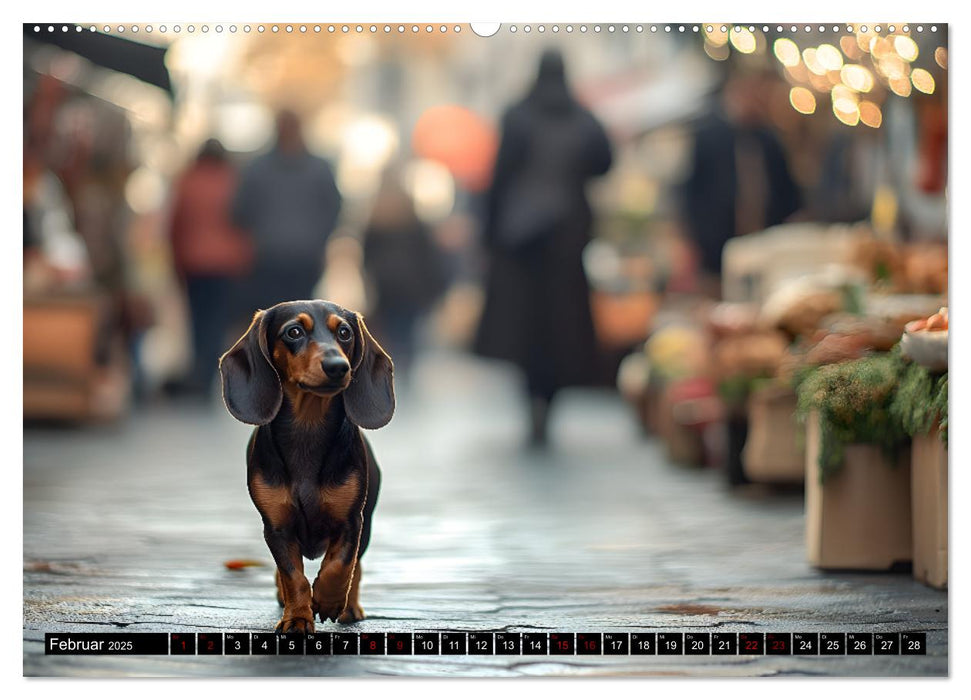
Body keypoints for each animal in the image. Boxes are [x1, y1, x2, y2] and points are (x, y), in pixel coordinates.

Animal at [220, 298, 394, 632]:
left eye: (344, 332)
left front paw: (327, 600)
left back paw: (349, 607)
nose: (339, 367)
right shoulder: (277, 527)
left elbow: (340, 565)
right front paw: (298, 618)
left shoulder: (351, 522)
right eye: (294, 331)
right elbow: (293, 576)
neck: (307, 426)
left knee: (356, 566)